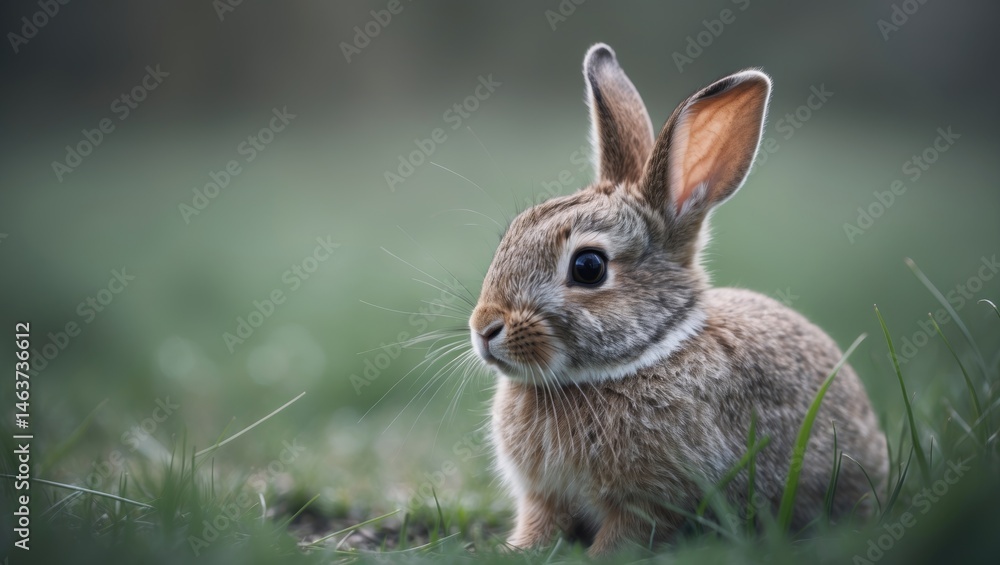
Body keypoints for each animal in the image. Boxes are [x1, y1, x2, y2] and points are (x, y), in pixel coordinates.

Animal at [467, 43, 888, 556]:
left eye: (588, 267)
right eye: (511, 235)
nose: (484, 327)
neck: (646, 353)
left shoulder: (653, 502)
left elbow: (626, 535)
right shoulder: (543, 497)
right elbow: (539, 524)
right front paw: (516, 550)